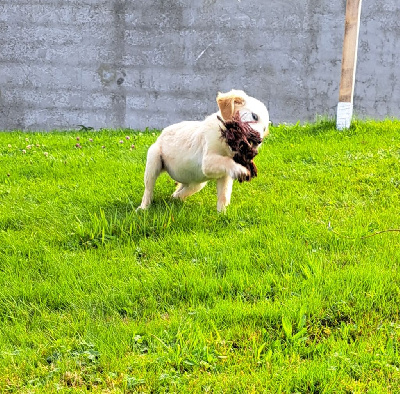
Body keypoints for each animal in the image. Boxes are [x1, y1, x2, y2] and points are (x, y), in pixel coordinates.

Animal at [137, 89, 268, 212]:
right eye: (254, 116)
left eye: (264, 129)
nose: (259, 141)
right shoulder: (207, 162)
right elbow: (225, 161)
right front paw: (241, 170)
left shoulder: (224, 176)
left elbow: (224, 195)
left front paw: (222, 214)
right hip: (153, 159)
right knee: (148, 189)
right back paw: (143, 207)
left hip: (197, 182)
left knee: (181, 191)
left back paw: (174, 198)